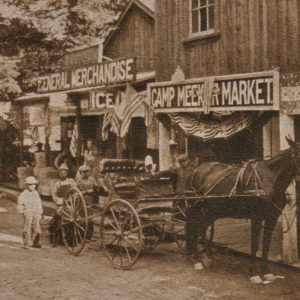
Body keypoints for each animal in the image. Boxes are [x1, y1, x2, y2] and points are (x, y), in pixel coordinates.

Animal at [185, 137, 300, 276]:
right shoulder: (256, 218)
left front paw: (265, 271)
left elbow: (266, 243)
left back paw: (206, 257)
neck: (269, 180)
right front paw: (254, 273)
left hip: (212, 210)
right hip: (196, 208)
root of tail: (196, 170)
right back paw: (195, 258)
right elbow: (255, 244)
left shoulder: (271, 218)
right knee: (193, 227)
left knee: (202, 227)